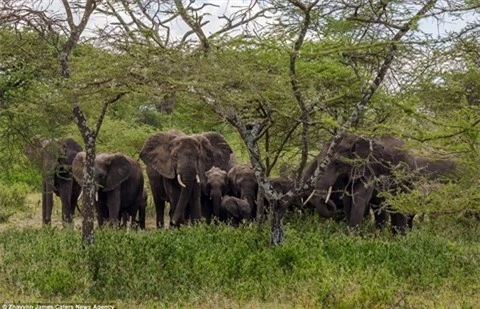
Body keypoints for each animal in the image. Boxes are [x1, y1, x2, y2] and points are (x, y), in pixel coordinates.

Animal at [306, 132, 456, 233]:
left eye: (337, 163)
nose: (327, 202)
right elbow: (349, 198)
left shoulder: (370, 167)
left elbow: (360, 197)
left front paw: (351, 238)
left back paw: (400, 240)